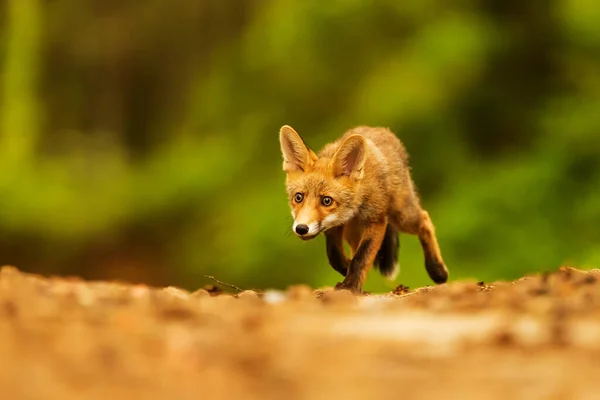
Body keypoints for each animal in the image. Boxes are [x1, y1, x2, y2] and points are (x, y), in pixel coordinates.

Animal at [278, 125, 448, 294]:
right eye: (298, 197)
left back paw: (437, 270)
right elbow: (335, 256)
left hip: (402, 216)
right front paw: (347, 271)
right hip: (353, 233)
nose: (301, 228)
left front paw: (350, 286)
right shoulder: (334, 227)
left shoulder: (376, 221)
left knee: (425, 219)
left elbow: (361, 257)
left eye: (326, 201)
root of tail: (379, 129)